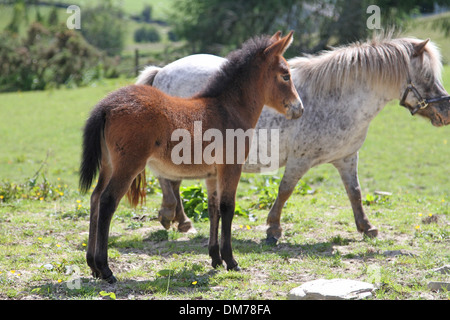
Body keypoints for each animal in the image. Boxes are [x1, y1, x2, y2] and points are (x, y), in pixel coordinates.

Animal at [137, 36, 450, 244]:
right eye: (426, 76)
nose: (446, 111)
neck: (339, 98)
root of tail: (162, 71)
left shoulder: (347, 158)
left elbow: (355, 193)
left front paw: (367, 227)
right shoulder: (301, 160)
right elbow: (285, 191)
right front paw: (273, 229)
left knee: (173, 181)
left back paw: (180, 220)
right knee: (167, 179)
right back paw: (172, 215)